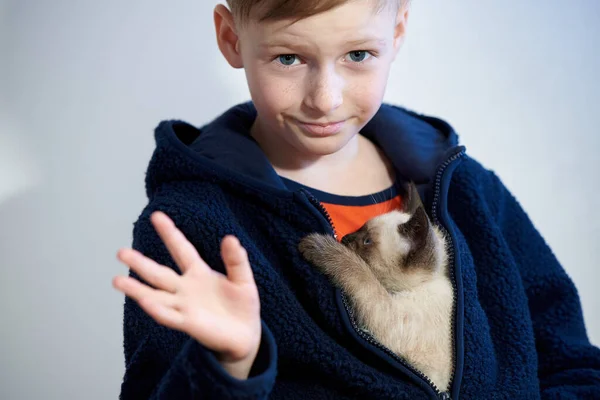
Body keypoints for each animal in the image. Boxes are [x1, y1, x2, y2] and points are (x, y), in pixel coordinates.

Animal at [298, 183, 452, 392]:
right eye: (360, 228)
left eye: (367, 241)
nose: (345, 238)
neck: (423, 283)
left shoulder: (390, 317)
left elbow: (361, 272)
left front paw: (320, 247)